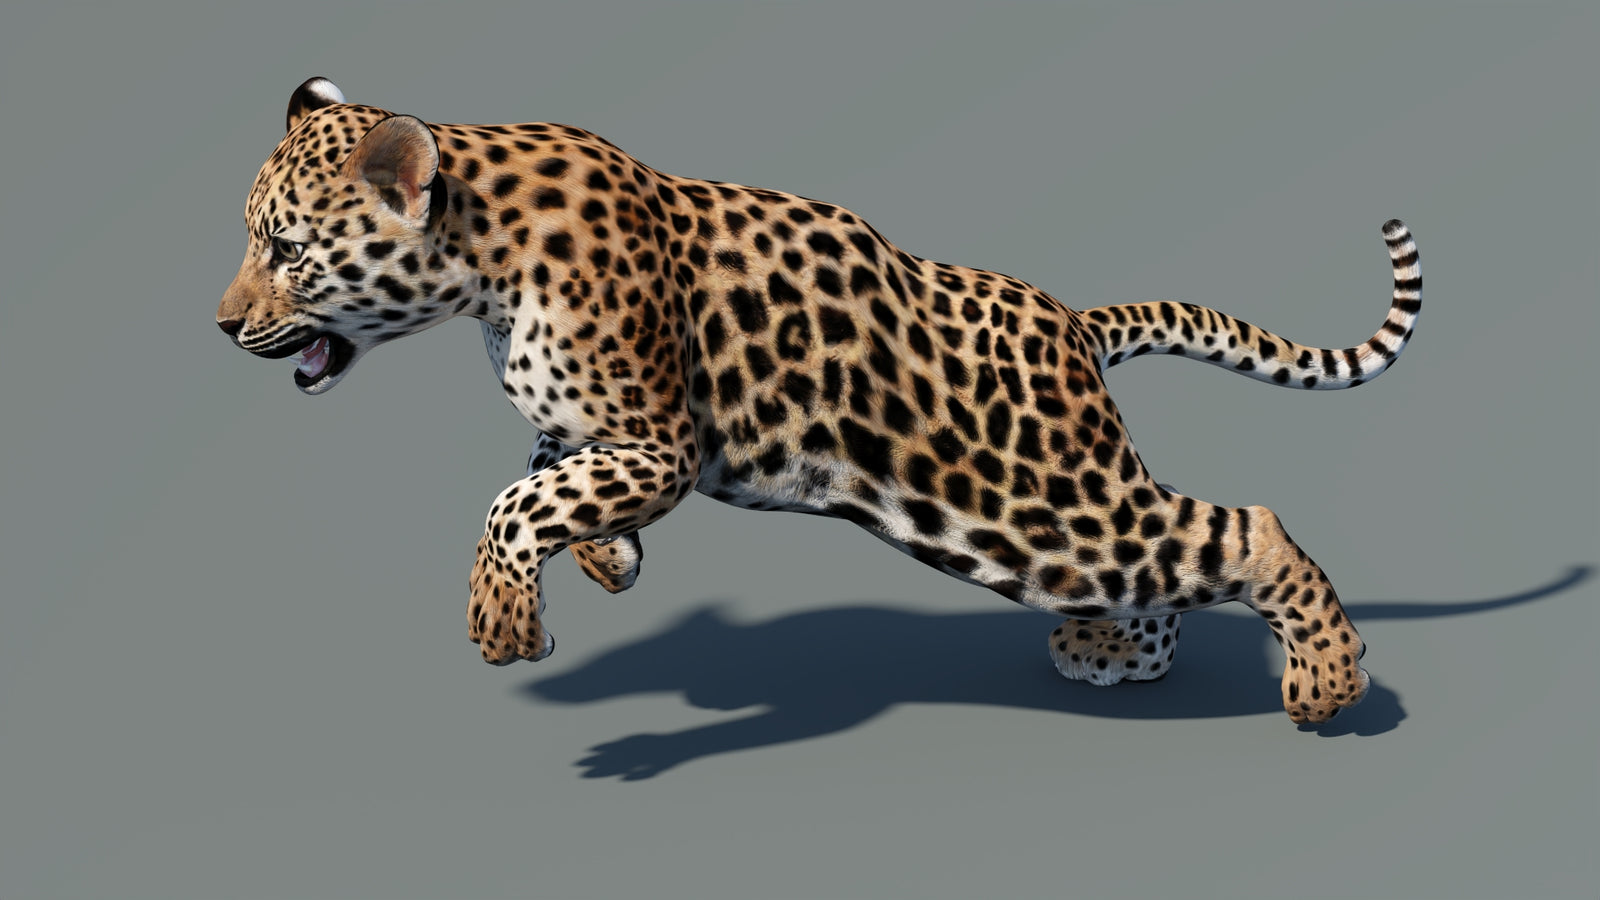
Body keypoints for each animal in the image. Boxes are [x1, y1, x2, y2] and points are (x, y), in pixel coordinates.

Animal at [218, 78, 1421, 724]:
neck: (480, 268)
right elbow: (544, 475)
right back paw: (1115, 654)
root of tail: (1072, 319)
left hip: (1034, 503)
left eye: (285, 250)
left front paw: (506, 621)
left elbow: (516, 504)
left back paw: (1327, 685)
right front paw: (608, 560)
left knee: (1244, 528)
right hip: (1045, 527)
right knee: (1167, 567)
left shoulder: (659, 441)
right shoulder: (594, 431)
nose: (222, 325)